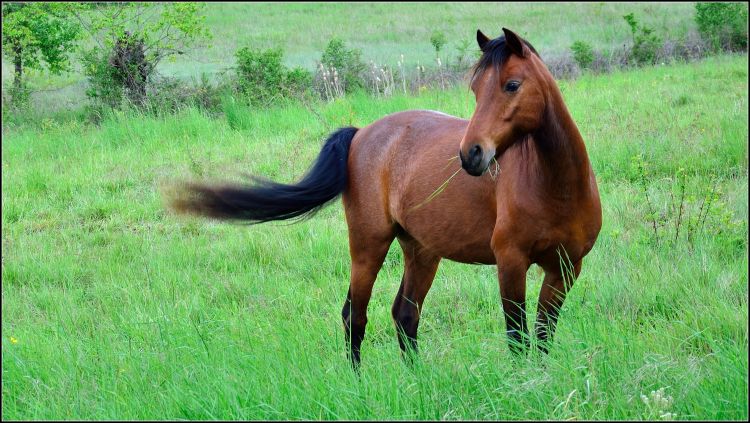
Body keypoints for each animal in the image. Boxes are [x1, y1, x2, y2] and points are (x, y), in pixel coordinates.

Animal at [170, 28, 604, 370]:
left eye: (512, 84)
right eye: (476, 90)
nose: (471, 154)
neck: (555, 185)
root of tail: (361, 134)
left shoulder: (565, 269)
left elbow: (543, 335)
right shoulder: (510, 263)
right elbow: (518, 337)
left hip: (421, 250)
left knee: (405, 314)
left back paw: (419, 382)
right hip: (369, 245)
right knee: (354, 316)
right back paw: (358, 385)